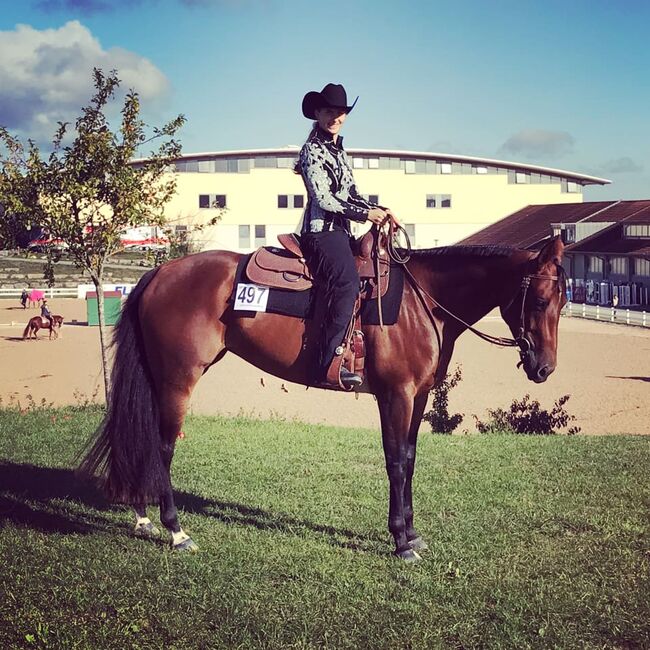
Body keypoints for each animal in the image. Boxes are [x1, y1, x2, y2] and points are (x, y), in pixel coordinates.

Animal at [78, 235, 564, 560]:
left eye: (563, 300)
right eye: (540, 300)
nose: (544, 368)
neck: (423, 302)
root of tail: (161, 271)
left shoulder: (419, 397)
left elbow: (409, 460)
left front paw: (412, 533)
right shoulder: (396, 396)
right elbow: (395, 462)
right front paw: (400, 541)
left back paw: (142, 517)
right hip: (178, 380)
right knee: (162, 446)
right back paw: (176, 531)